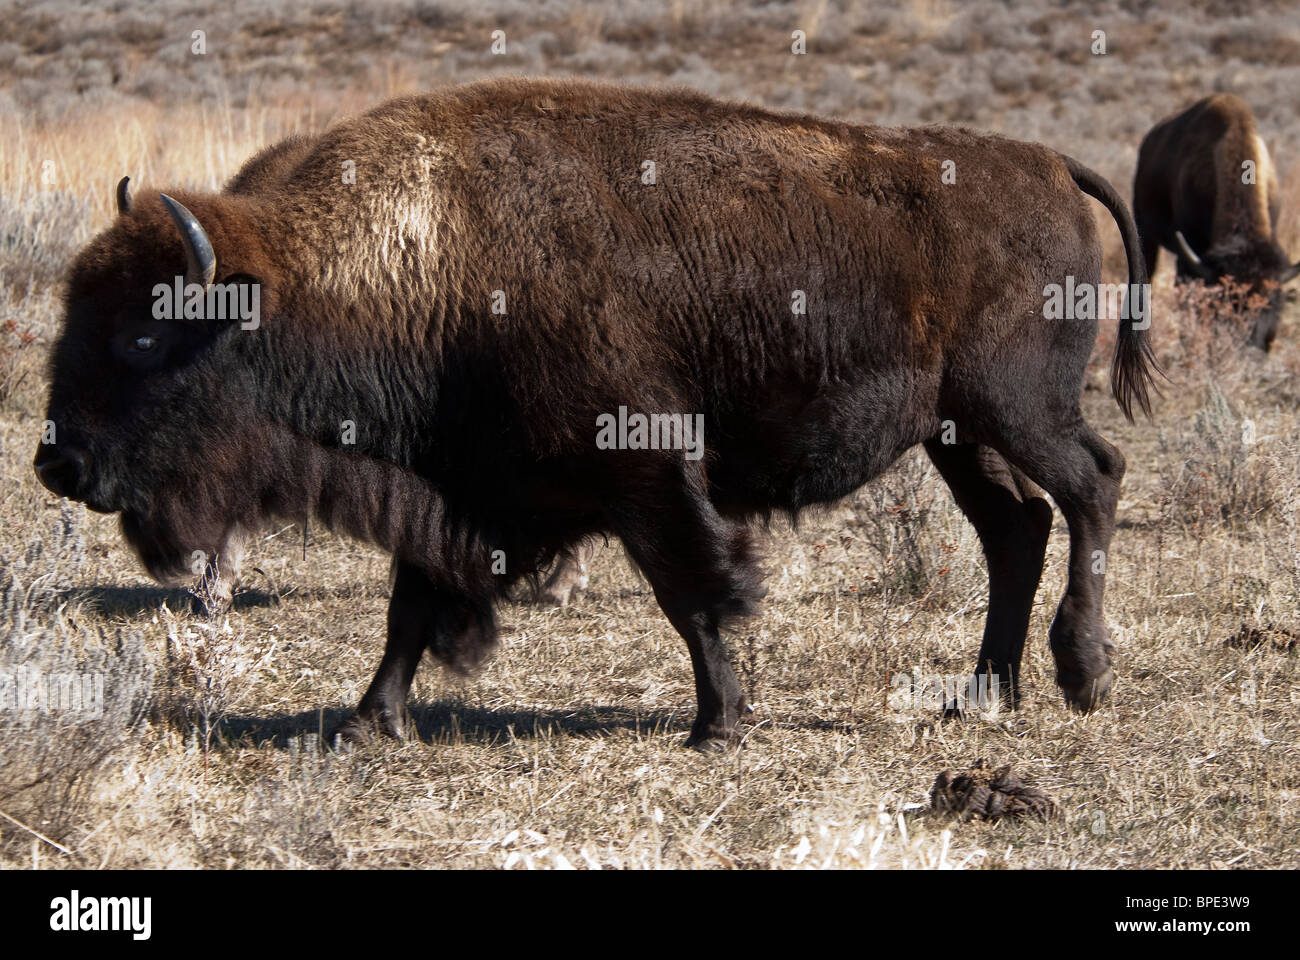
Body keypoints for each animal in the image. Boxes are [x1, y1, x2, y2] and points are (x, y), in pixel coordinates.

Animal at [35, 79, 1156, 750]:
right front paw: (366, 722)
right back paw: (986, 691)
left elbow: (692, 591)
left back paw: (1082, 674)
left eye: (143, 337)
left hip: (1015, 409)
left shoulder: (647, 471)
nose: (59, 464)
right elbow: (410, 607)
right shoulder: (448, 486)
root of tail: (1049, 163)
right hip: (956, 434)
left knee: (1091, 485)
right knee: (1018, 526)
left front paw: (717, 724)